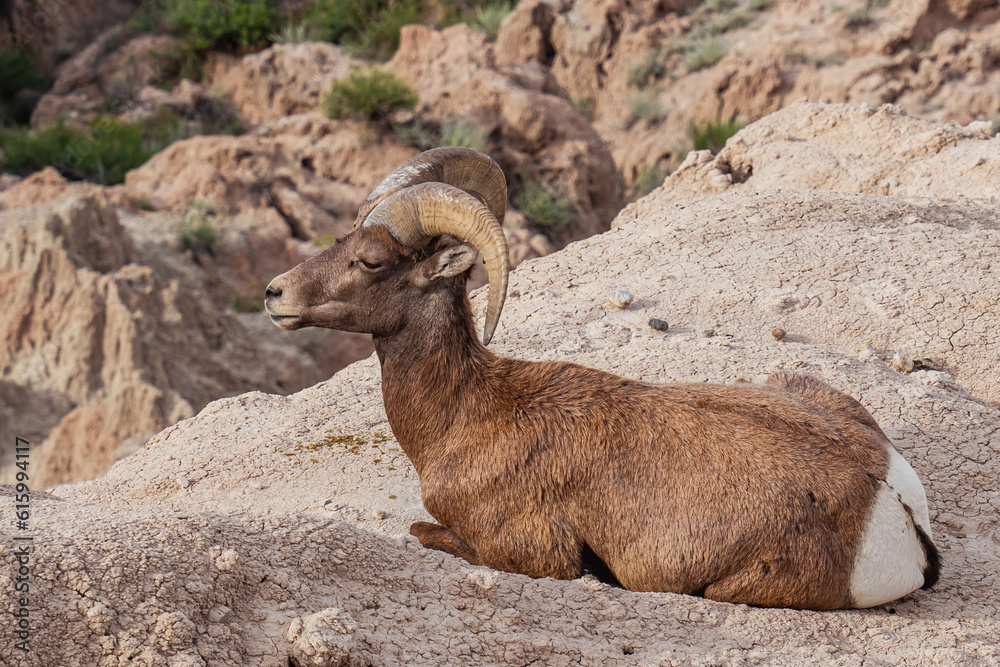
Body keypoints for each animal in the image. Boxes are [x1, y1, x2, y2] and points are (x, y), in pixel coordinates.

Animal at [264, 147, 939, 610]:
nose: (275, 294)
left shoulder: (530, 552)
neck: (466, 414)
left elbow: (422, 529)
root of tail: (891, 502)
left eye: (370, 261)